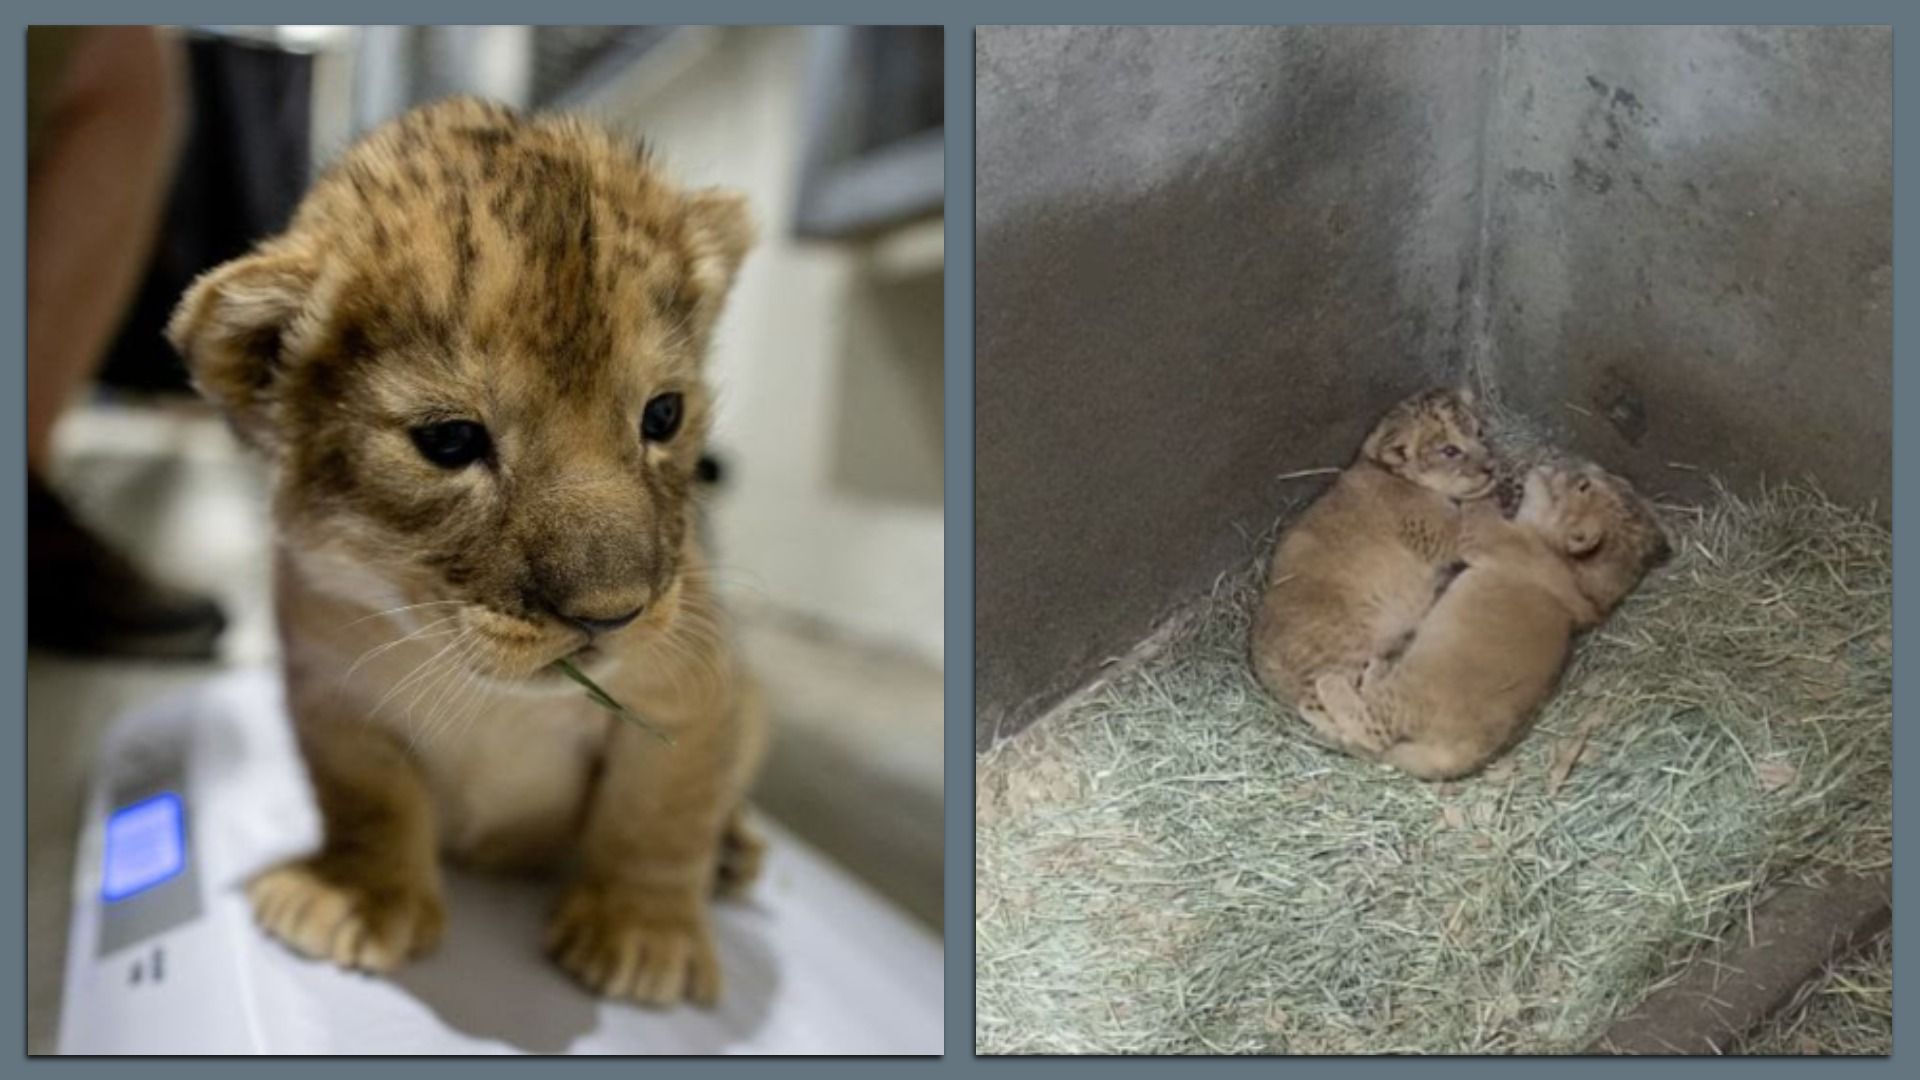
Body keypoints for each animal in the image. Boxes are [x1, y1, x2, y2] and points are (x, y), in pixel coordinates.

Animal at [166, 98, 767, 1007]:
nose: (612, 615)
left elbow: (662, 811)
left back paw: (733, 855)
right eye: (450, 441)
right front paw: (358, 900)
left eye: (663, 415)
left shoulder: (694, 688)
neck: (491, 693)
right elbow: (369, 803)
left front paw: (640, 934)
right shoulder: (333, 698)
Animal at [1310, 461, 1672, 780]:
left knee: (1372, 730)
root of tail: (1460, 755)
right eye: (1591, 480)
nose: (1580, 466)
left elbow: (1478, 512)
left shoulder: (1487, 537)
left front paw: (1486, 483)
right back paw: (1376, 667)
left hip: (1406, 697)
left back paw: (1332, 683)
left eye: (1584, 486)